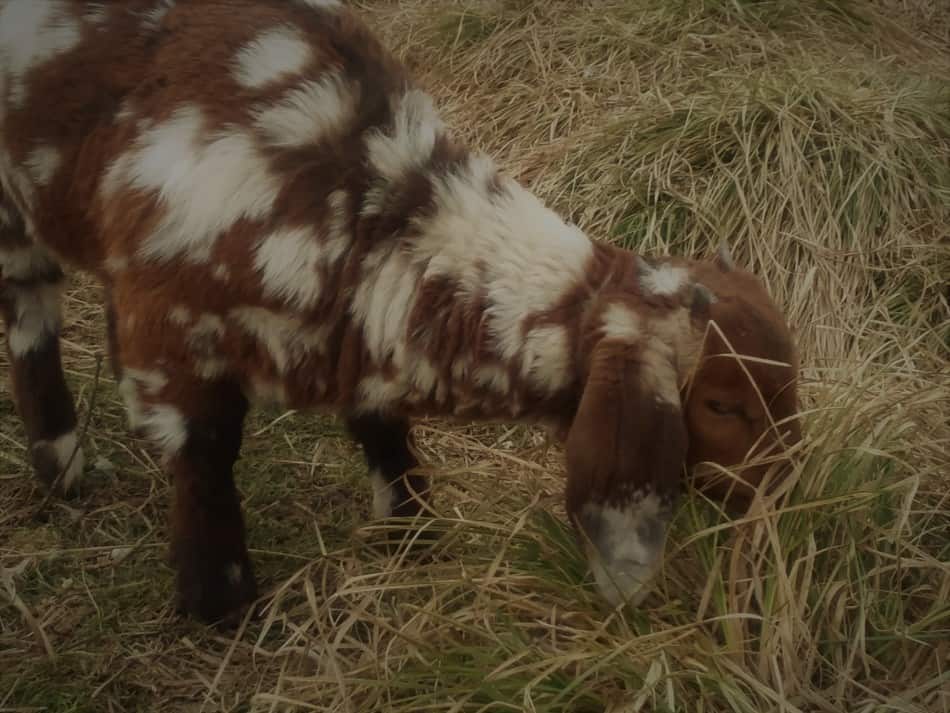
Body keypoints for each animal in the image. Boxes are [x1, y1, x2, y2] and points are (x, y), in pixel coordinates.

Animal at [0, 0, 804, 624]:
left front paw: (412, 534)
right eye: (722, 404)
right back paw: (61, 464)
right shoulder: (168, 328)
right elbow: (205, 457)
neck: (365, 203)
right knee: (30, 321)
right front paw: (218, 602)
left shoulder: (361, 331)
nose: (789, 492)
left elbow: (382, 425)